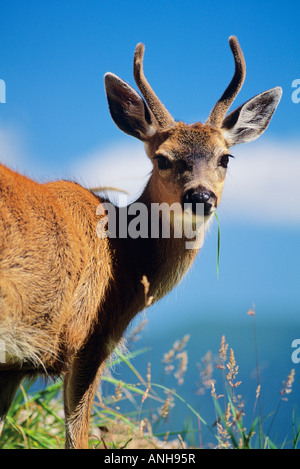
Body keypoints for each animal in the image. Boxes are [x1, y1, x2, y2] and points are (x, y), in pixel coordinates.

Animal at [0, 35, 282, 446]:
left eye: (225, 158)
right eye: (163, 158)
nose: (200, 197)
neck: (127, 256)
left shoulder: (15, 366)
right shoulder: (89, 340)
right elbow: (77, 436)